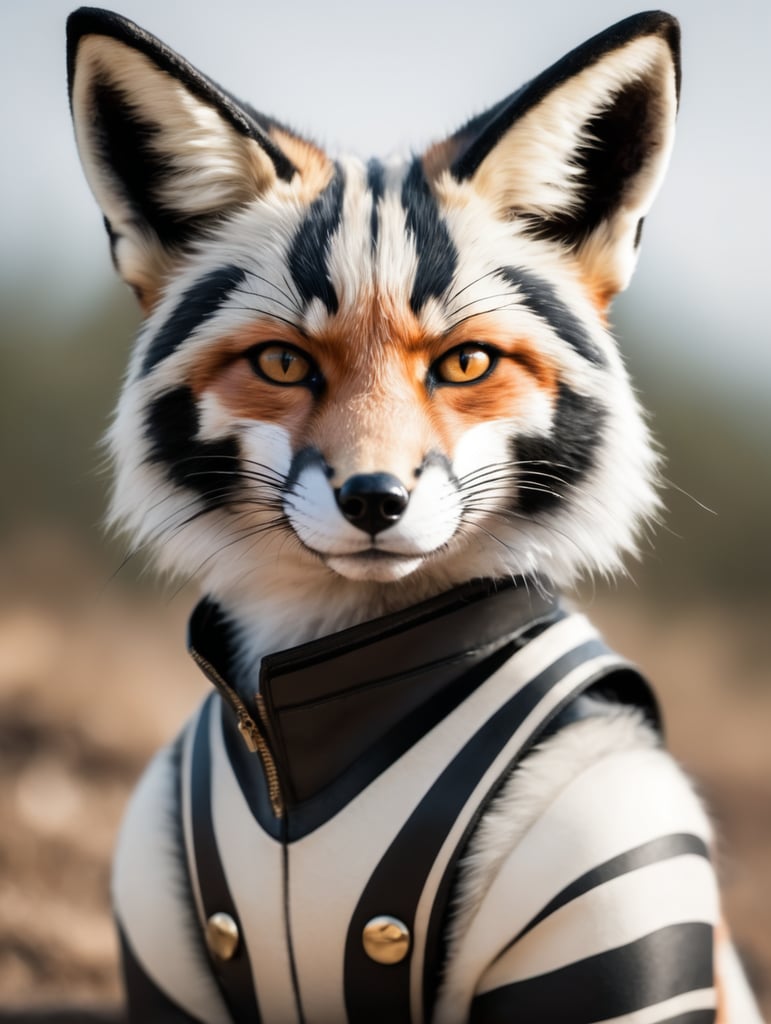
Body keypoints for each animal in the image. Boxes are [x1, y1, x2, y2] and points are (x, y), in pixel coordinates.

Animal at [67, 7, 763, 1023]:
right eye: (283, 364)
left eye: (464, 364)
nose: (373, 499)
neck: (301, 742)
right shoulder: (163, 964)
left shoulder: (611, 932)